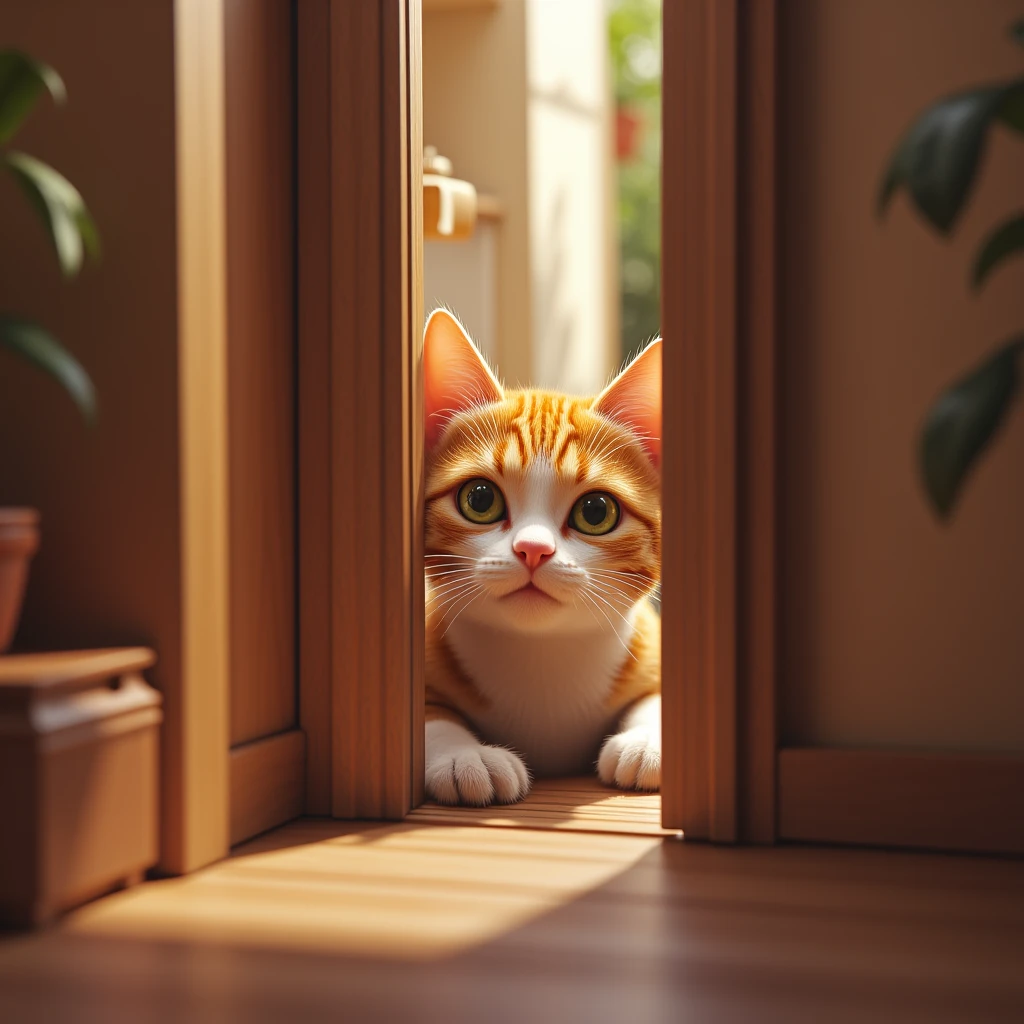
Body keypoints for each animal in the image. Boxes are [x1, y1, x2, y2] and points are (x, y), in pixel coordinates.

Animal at [419, 307, 659, 802]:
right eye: (480, 500)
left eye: (595, 511)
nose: (533, 549)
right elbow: (428, 716)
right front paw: (465, 756)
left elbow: (656, 698)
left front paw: (645, 741)